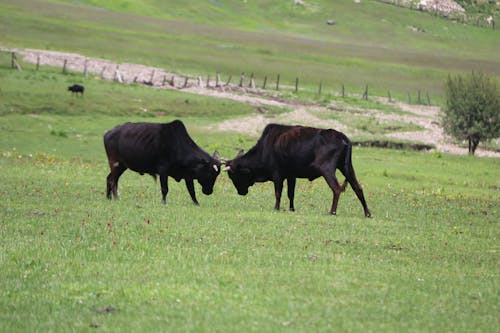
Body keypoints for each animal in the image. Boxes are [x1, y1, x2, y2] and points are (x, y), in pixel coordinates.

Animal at [225, 123, 370, 217]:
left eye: (233, 175)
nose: (241, 192)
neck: (265, 148)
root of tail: (343, 137)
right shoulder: (291, 176)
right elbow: (291, 194)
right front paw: (292, 209)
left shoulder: (278, 175)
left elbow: (278, 193)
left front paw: (276, 208)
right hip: (346, 167)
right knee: (358, 188)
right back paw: (367, 213)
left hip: (327, 169)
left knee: (336, 189)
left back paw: (332, 212)